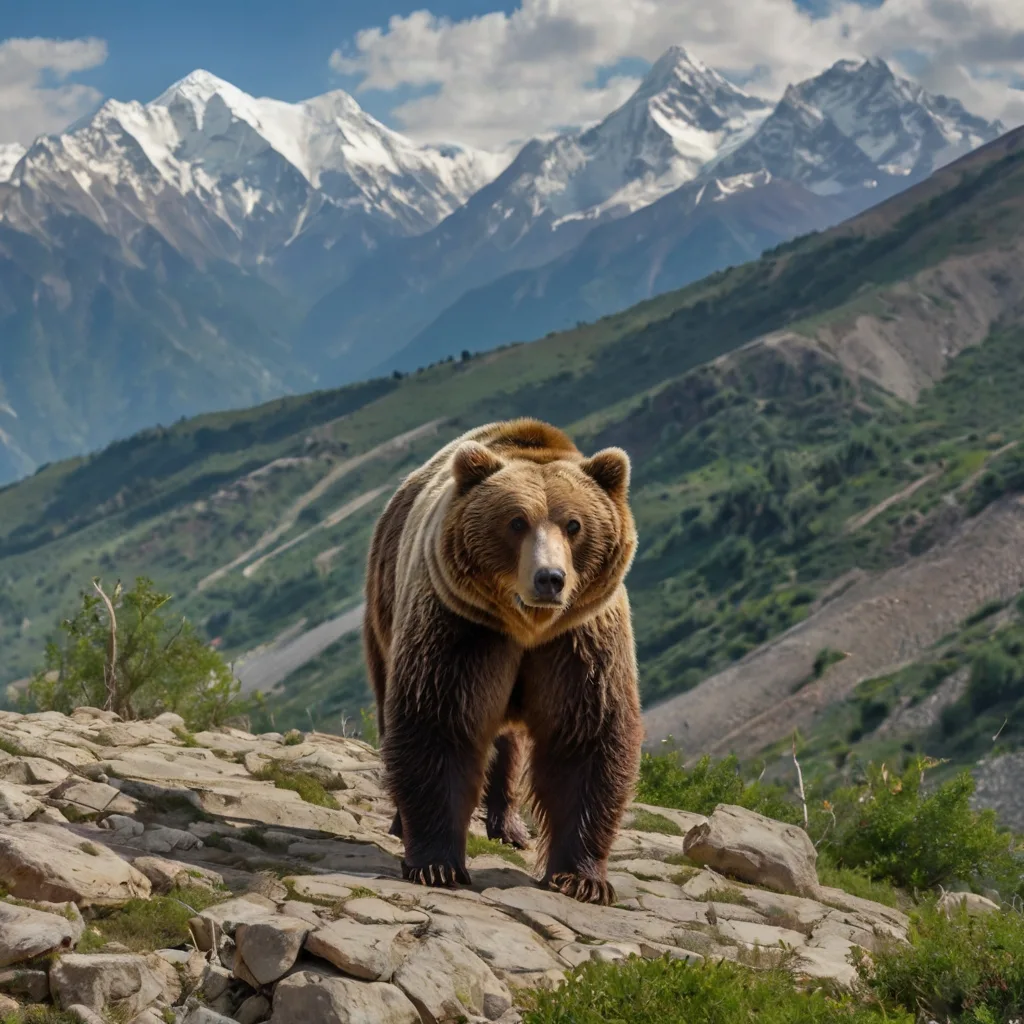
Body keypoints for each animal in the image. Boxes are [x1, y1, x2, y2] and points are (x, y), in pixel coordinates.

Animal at [363, 417, 643, 905]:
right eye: (516, 521)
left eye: (574, 524)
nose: (550, 578)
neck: (528, 628)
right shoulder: (463, 629)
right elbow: (439, 722)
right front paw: (436, 863)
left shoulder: (579, 643)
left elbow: (586, 737)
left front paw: (582, 878)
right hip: (387, 605)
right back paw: (402, 822)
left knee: (508, 743)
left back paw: (510, 826)